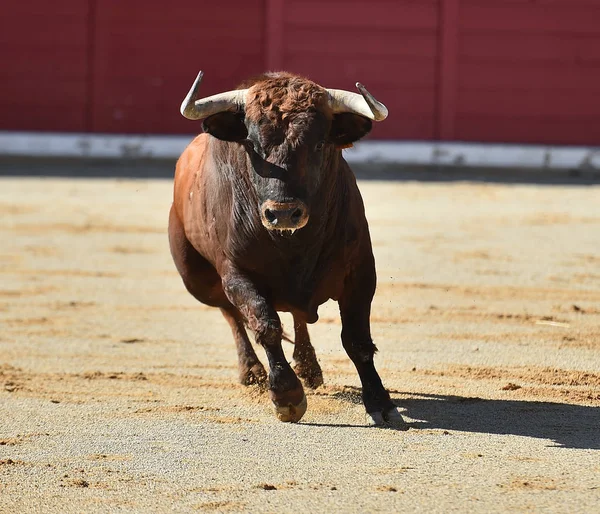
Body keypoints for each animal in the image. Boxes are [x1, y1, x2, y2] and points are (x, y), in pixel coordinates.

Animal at [169, 71, 404, 424]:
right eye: (252, 145)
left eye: (319, 144)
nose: (282, 213)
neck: (295, 245)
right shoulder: (235, 273)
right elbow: (264, 325)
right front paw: (286, 394)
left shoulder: (361, 272)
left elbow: (357, 339)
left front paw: (381, 402)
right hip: (197, 279)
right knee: (231, 313)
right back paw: (252, 371)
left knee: (297, 314)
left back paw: (308, 367)